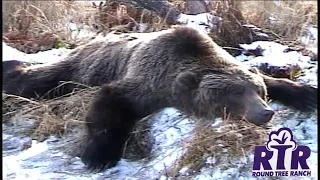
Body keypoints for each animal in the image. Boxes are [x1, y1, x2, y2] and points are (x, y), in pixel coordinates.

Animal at [2, 26, 318, 170]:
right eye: (234, 94)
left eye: (257, 91)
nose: (265, 112)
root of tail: (95, 39)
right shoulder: (148, 83)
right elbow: (110, 105)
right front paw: (99, 155)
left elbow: (275, 79)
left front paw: (306, 93)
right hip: (82, 67)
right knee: (40, 80)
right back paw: (12, 68)